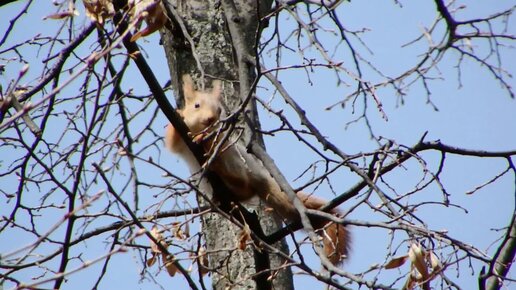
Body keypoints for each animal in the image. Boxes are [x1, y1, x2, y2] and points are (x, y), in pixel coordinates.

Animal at [165, 75, 350, 266]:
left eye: (218, 110)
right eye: (196, 105)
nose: (210, 119)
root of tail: (260, 176)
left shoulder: (221, 140)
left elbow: (214, 142)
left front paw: (205, 140)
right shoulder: (179, 142)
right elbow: (172, 141)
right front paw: (180, 114)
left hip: (236, 162)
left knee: (243, 184)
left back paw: (221, 171)